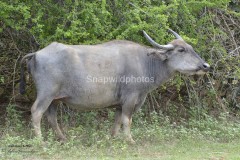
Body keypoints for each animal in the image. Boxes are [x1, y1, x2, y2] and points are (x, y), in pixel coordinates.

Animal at [19, 29, 209, 142]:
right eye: (181, 50)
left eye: (191, 47)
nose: (205, 65)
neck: (146, 62)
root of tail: (37, 53)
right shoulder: (131, 98)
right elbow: (127, 120)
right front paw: (130, 140)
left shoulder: (121, 103)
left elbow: (117, 120)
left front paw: (113, 137)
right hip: (46, 94)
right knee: (36, 111)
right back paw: (40, 141)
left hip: (55, 99)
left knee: (51, 117)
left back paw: (63, 138)